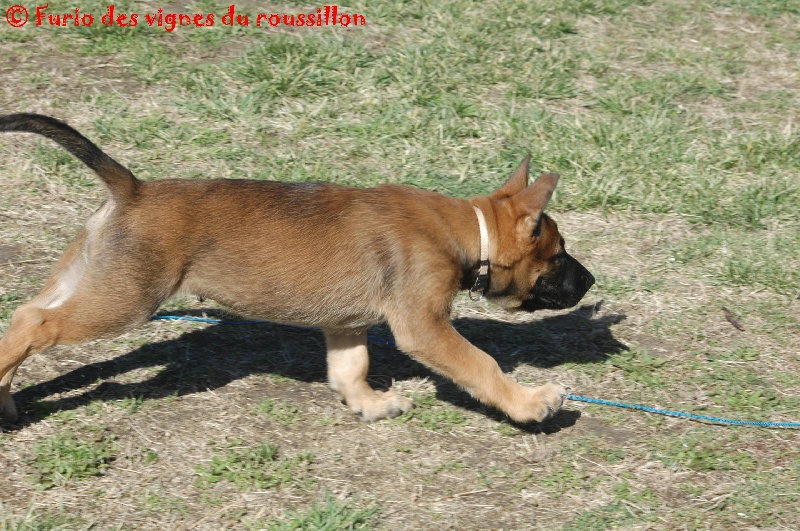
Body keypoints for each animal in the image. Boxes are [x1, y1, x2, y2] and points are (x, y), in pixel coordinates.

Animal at [0, 114, 592, 426]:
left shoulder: (346, 324)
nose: (590, 282)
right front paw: (529, 402)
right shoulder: (423, 328)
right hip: (126, 299)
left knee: (23, 313)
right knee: (34, 325)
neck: (468, 229)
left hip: (88, 276)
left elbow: (350, 370)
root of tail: (133, 188)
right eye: (559, 255)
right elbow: (482, 364)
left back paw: (5, 400)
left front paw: (370, 404)